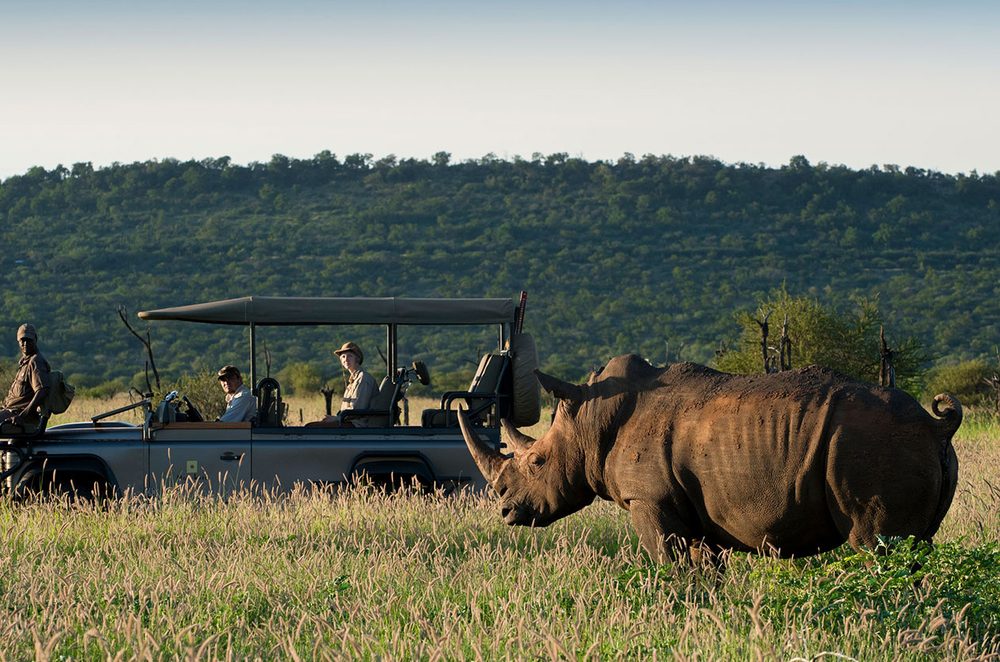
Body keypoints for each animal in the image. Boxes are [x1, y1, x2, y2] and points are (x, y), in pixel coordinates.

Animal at [460, 355, 961, 563]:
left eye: (538, 462)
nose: (505, 510)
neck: (590, 419)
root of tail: (937, 425)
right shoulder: (695, 508)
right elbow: (704, 570)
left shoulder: (649, 499)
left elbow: (672, 565)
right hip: (906, 447)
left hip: (869, 445)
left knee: (874, 545)